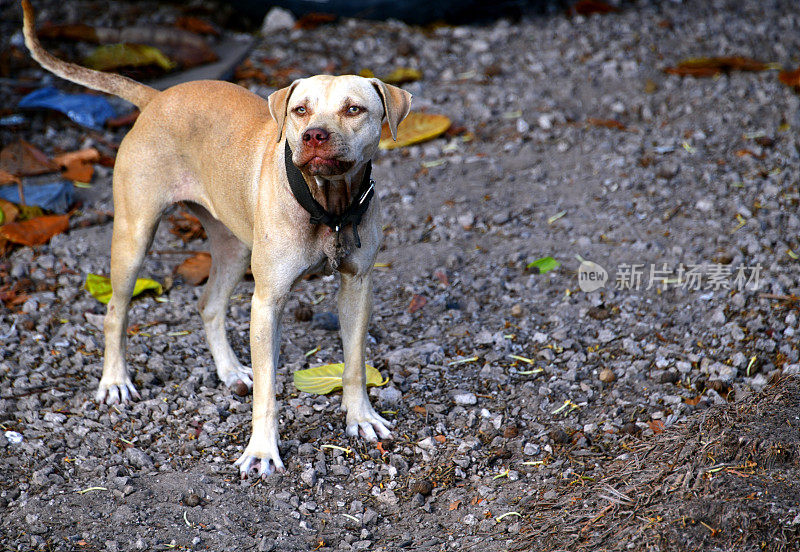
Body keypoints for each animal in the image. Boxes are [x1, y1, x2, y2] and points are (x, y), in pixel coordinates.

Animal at [21, 0, 410, 476]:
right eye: (300, 110)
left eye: (354, 109)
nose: (314, 135)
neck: (328, 207)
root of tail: (157, 98)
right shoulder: (267, 302)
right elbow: (268, 391)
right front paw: (261, 451)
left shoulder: (357, 287)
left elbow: (354, 362)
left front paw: (361, 416)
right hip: (134, 237)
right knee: (115, 311)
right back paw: (115, 381)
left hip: (234, 247)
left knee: (209, 305)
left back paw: (230, 372)